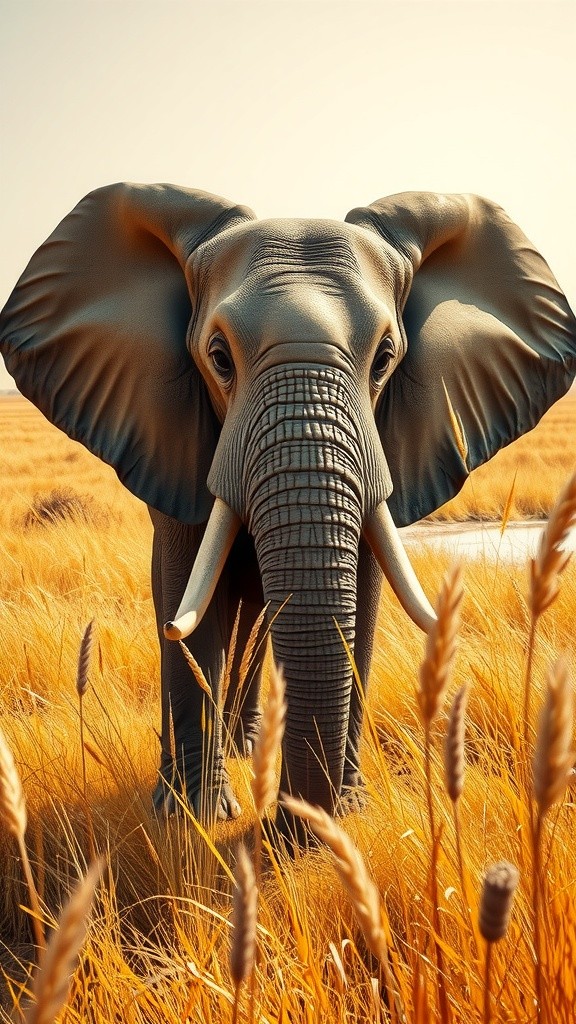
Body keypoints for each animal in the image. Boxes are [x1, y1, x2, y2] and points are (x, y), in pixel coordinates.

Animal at [1, 183, 575, 838]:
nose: (281, 825)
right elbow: (186, 597)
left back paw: (249, 747)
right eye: (219, 357)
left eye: (385, 358)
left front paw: (347, 811)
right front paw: (197, 817)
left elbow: (366, 601)